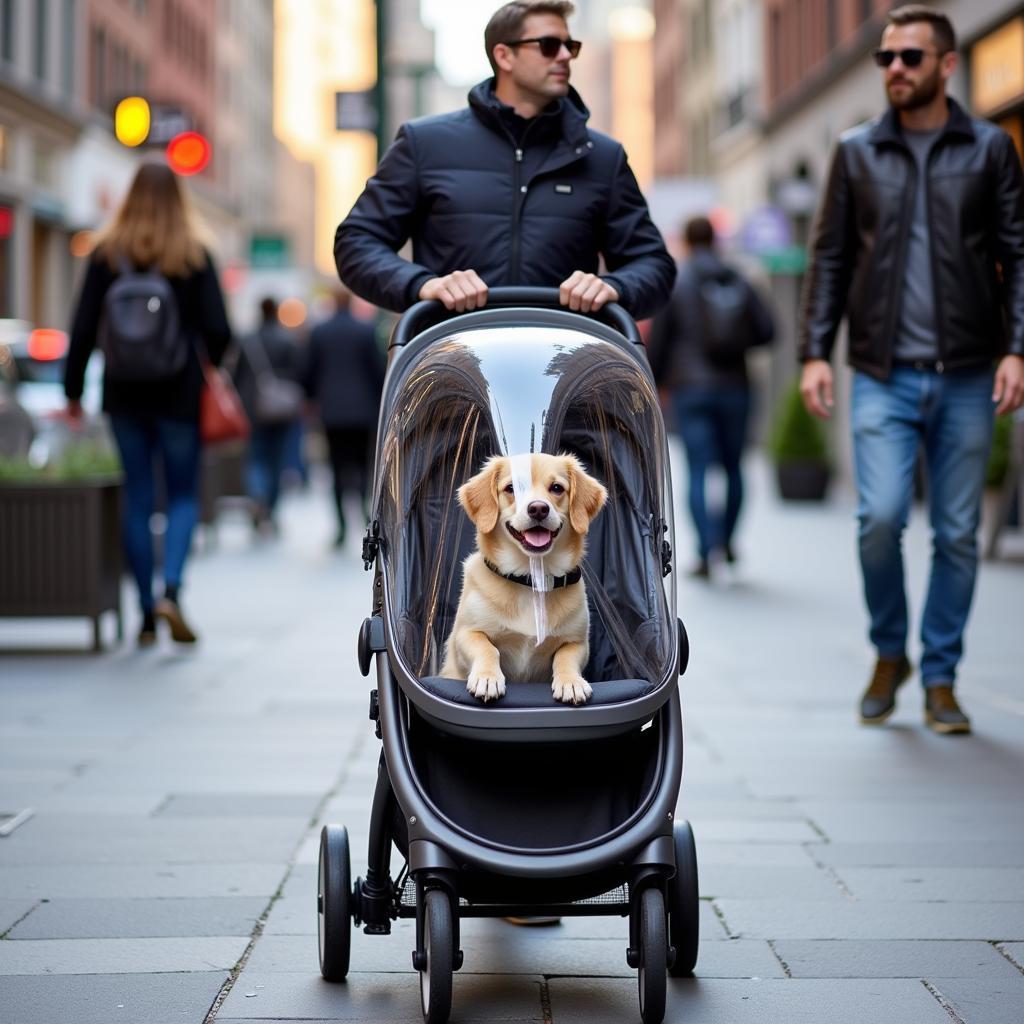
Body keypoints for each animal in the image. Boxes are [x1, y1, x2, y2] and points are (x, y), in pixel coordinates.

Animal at [317, 288, 696, 1024]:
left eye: (558, 487)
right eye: (510, 491)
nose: (542, 512)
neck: (535, 585)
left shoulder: (577, 639)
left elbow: (564, 657)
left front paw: (569, 687)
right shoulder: (465, 636)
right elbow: (487, 645)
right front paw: (493, 680)